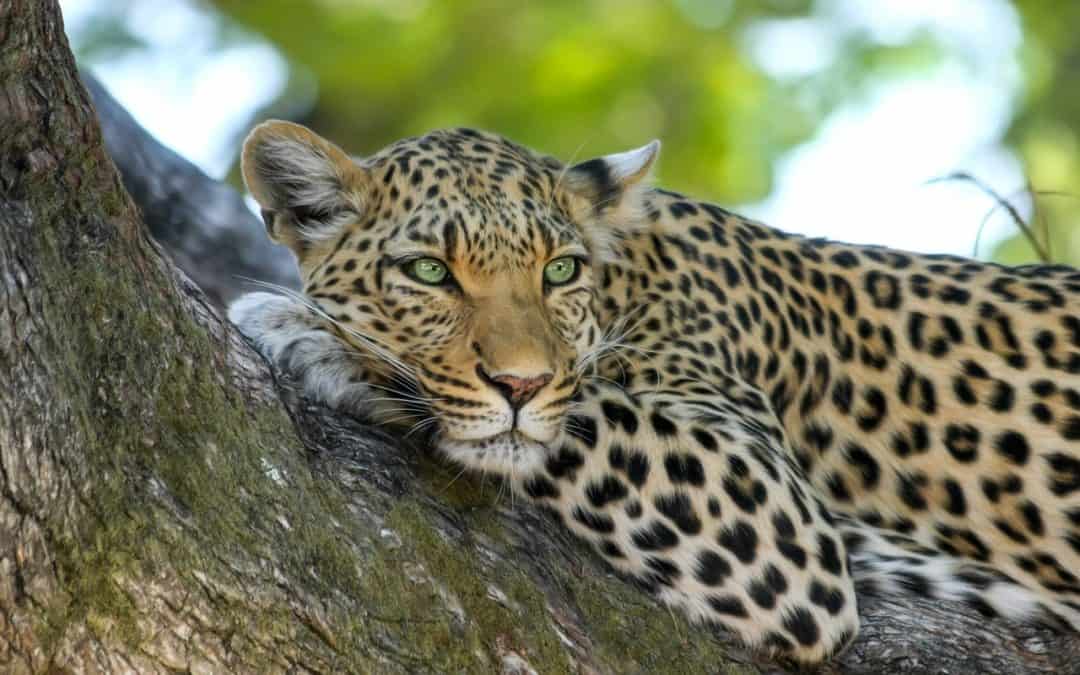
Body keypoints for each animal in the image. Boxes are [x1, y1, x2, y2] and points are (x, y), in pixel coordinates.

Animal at [227, 118, 1080, 660]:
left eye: (559, 270)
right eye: (430, 271)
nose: (520, 381)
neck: (629, 279)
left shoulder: (775, 514)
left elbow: (580, 414)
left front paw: (315, 334)